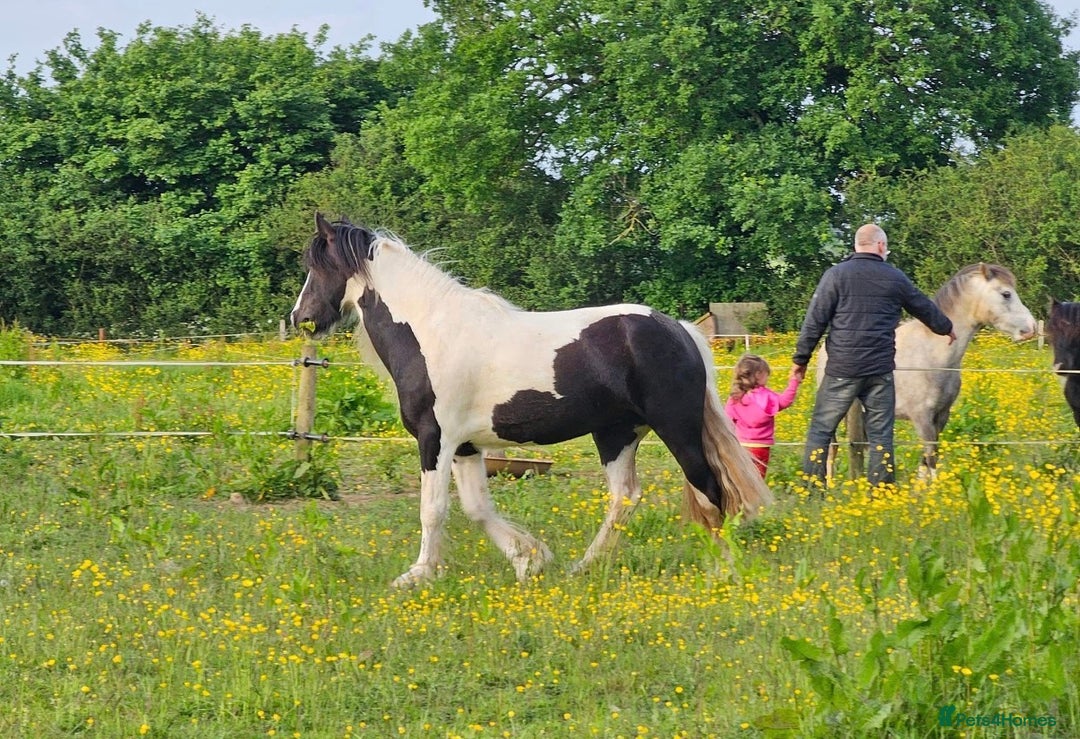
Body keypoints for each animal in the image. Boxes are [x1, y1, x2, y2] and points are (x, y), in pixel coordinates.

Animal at [290, 214, 772, 587]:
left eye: (318, 265)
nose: (300, 318)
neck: (431, 332)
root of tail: (679, 329)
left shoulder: (435, 439)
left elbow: (433, 509)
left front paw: (418, 574)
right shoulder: (466, 446)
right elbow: (477, 508)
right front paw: (530, 560)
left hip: (676, 427)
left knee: (708, 488)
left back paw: (723, 570)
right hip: (616, 434)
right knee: (625, 497)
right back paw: (583, 567)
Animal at [821, 263, 1036, 480]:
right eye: (1006, 294)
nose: (1031, 328)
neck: (933, 355)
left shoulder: (941, 415)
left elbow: (927, 459)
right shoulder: (921, 418)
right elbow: (931, 458)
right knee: (831, 446)